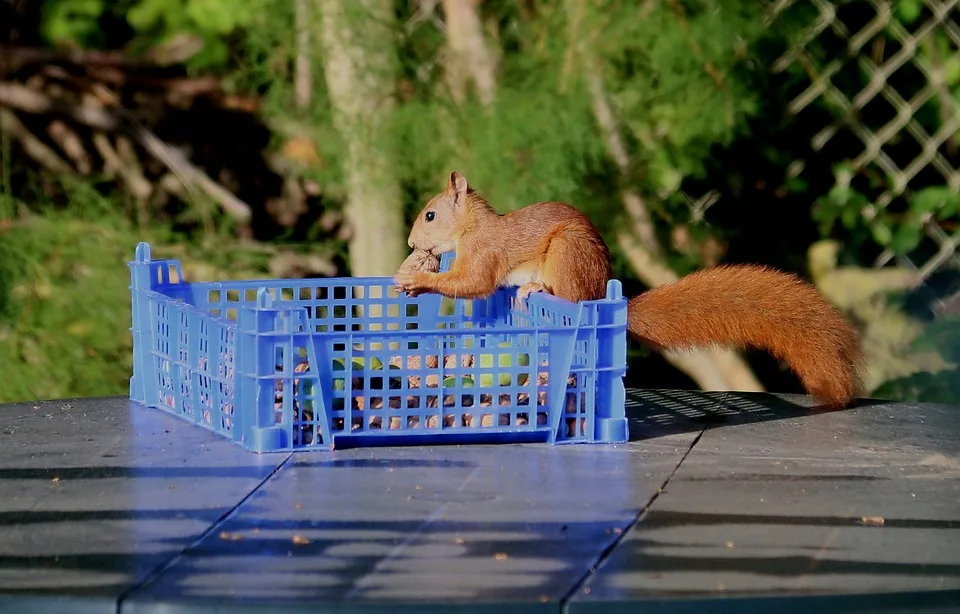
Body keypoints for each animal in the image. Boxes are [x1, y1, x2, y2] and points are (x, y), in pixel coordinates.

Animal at [394, 172, 868, 410]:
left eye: (430, 215)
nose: (412, 245)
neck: (472, 228)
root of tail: (601, 291)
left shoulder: (486, 253)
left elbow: (473, 283)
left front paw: (419, 281)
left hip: (568, 255)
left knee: (569, 296)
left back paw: (534, 286)